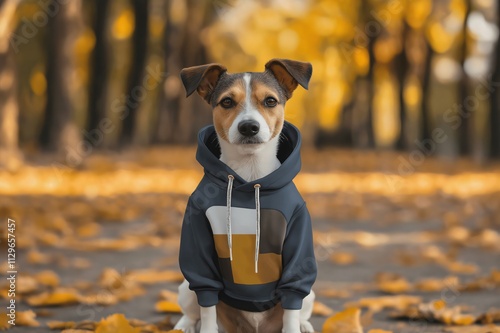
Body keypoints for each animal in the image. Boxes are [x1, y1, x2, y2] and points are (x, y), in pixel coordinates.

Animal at [175, 58, 316, 330]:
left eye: (270, 101)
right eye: (227, 101)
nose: (249, 126)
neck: (249, 179)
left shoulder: (298, 236)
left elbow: (292, 310)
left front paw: (294, 327)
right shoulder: (197, 235)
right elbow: (207, 309)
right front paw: (206, 328)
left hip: (310, 294)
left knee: (300, 310)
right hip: (187, 287)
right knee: (193, 311)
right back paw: (185, 325)